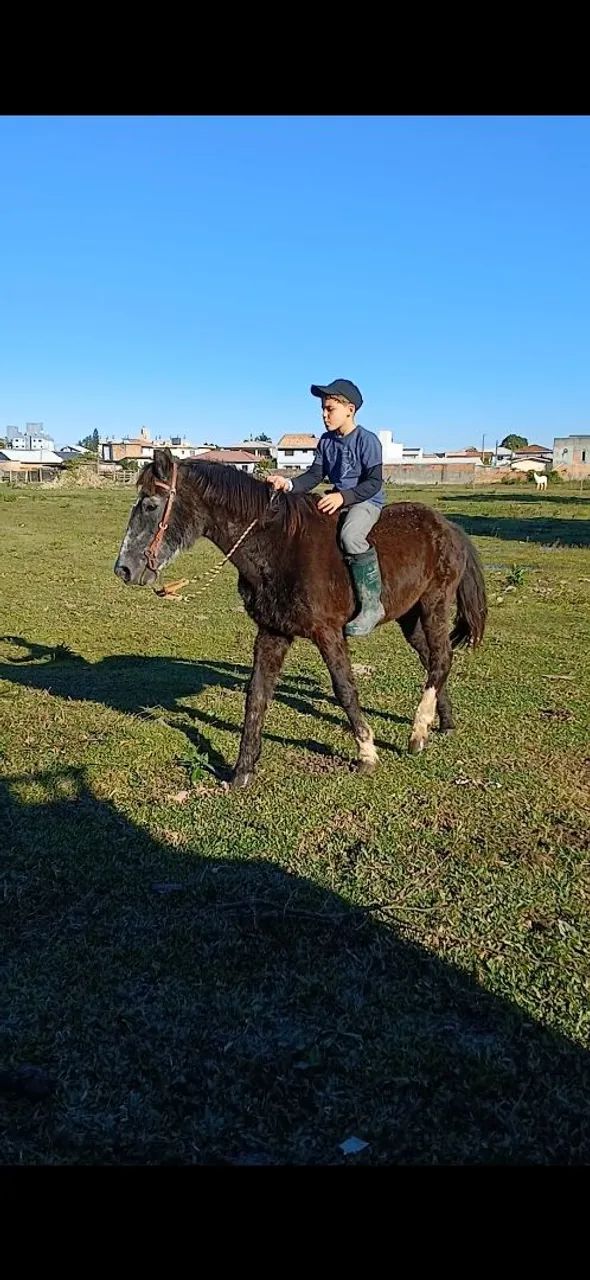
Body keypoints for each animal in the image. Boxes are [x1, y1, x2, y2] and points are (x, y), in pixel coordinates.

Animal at [114, 448, 487, 787]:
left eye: (150, 505)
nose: (123, 569)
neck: (280, 547)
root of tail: (448, 526)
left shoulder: (328, 632)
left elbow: (345, 689)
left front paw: (367, 753)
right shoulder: (272, 632)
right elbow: (257, 695)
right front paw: (243, 771)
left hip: (434, 604)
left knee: (440, 658)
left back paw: (418, 732)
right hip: (409, 616)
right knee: (434, 659)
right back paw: (441, 723)